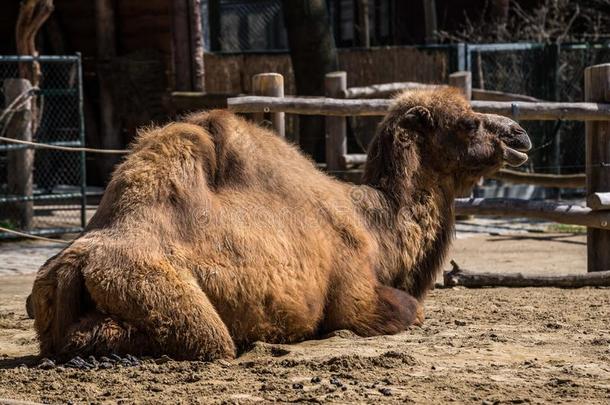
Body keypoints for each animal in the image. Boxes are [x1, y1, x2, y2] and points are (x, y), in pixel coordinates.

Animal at [27, 87, 528, 358]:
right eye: (467, 123)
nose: (519, 136)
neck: (375, 227)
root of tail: (74, 267)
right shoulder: (357, 298)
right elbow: (409, 310)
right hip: (174, 302)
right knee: (201, 339)